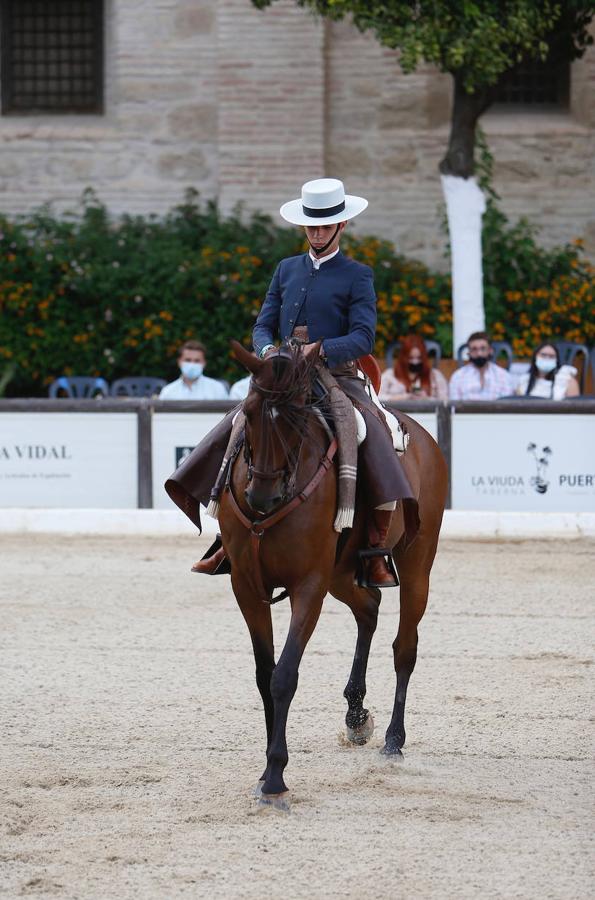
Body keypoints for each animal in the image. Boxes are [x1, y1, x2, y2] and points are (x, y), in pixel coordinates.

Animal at [219, 344, 448, 808]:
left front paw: (275, 777)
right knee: (369, 608)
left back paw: (394, 741)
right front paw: (266, 769)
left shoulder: (308, 585)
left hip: (416, 562)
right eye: (248, 412)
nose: (262, 496)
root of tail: (423, 437)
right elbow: (264, 674)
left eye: (296, 419)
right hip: (342, 574)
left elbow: (285, 675)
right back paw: (356, 715)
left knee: (405, 647)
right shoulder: (246, 587)